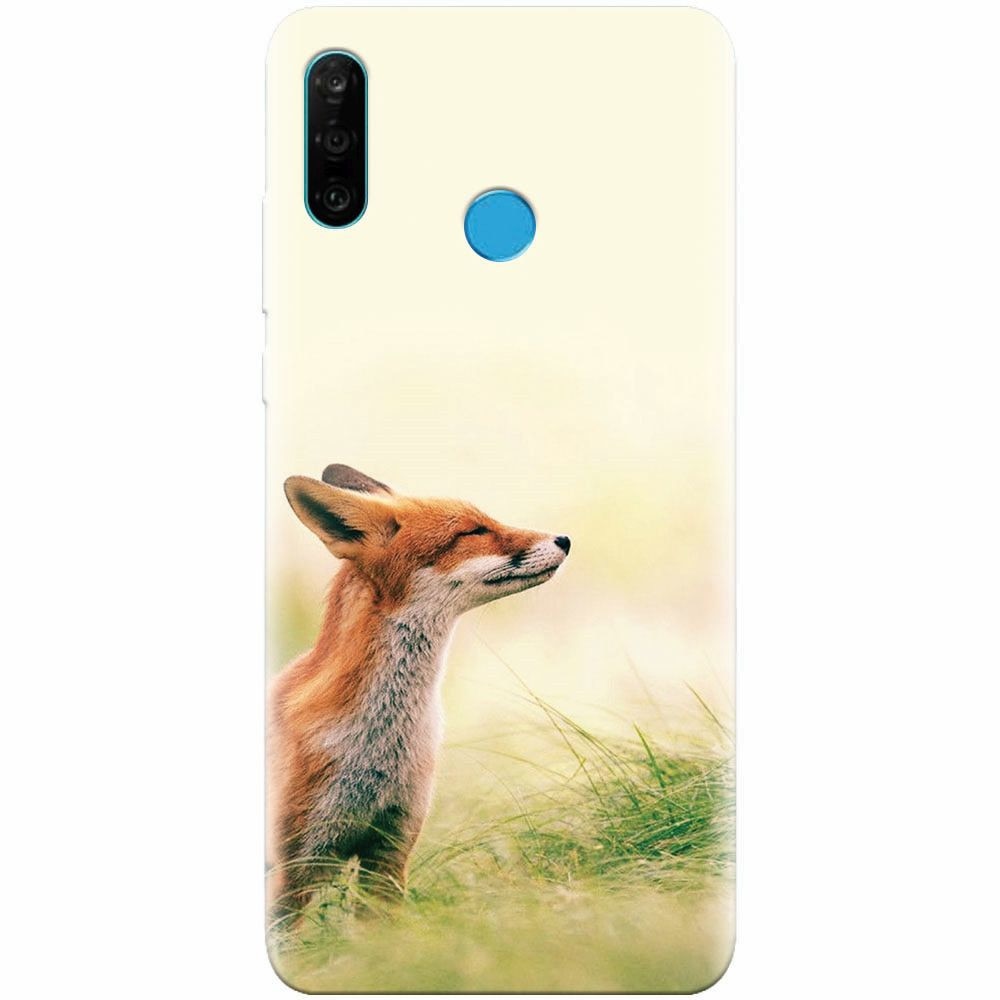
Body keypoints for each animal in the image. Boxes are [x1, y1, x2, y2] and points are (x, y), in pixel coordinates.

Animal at [268, 463, 570, 923]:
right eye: (473, 531)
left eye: (487, 520)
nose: (565, 540)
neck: (379, 746)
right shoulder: (292, 870)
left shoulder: (390, 851)